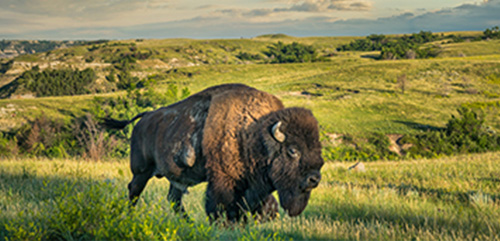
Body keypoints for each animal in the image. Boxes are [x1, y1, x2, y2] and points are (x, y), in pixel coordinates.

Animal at [103, 84, 326, 221]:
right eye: (293, 150)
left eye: (317, 148)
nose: (314, 179)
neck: (254, 133)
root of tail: (145, 117)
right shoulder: (223, 179)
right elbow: (221, 205)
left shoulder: (253, 187)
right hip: (141, 171)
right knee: (134, 190)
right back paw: (129, 216)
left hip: (175, 177)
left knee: (174, 199)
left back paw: (189, 223)